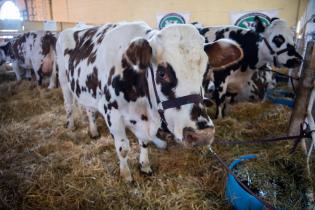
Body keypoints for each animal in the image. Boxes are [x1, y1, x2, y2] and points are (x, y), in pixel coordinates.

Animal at [57, 22, 244, 181]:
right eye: (162, 73)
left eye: (206, 72)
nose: (202, 135)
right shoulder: (112, 113)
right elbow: (123, 149)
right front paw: (126, 175)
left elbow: (145, 142)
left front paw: (145, 165)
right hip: (64, 81)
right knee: (68, 106)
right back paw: (71, 126)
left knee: (89, 110)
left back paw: (94, 131)